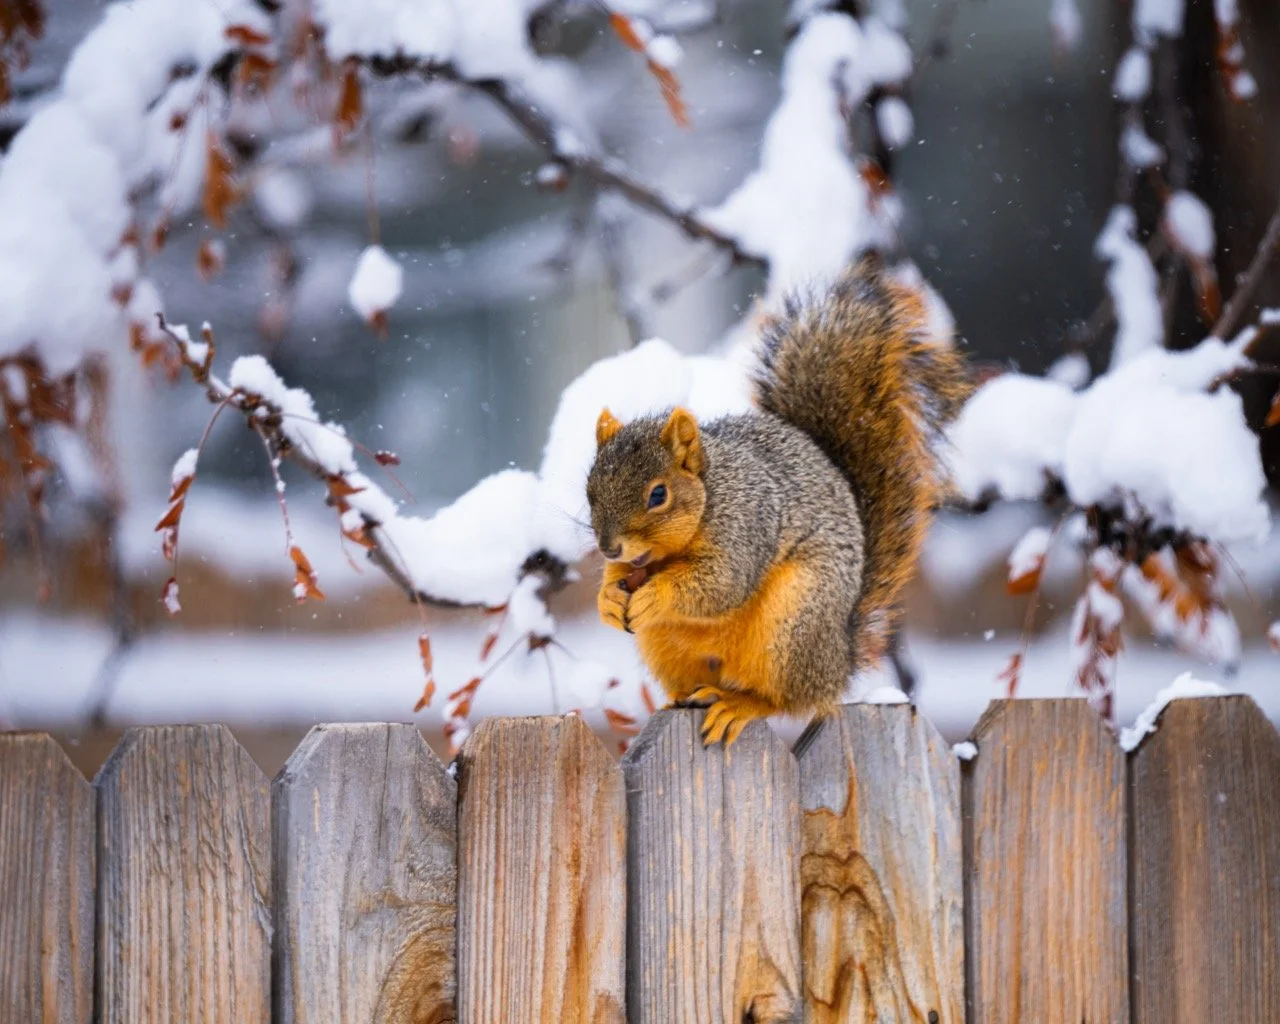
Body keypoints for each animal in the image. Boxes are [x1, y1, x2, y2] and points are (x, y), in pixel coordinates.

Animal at [586, 258, 970, 746]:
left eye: (659, 494)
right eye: (589, 489)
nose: (609, 546)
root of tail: (838, 660)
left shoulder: (746, 529)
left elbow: (719, 584)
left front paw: (656, 594)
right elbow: (621, 580)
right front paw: (607, 599)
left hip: (792, 623)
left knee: (787, 699)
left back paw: (740, 704)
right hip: (666, 645)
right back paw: (686, 697)